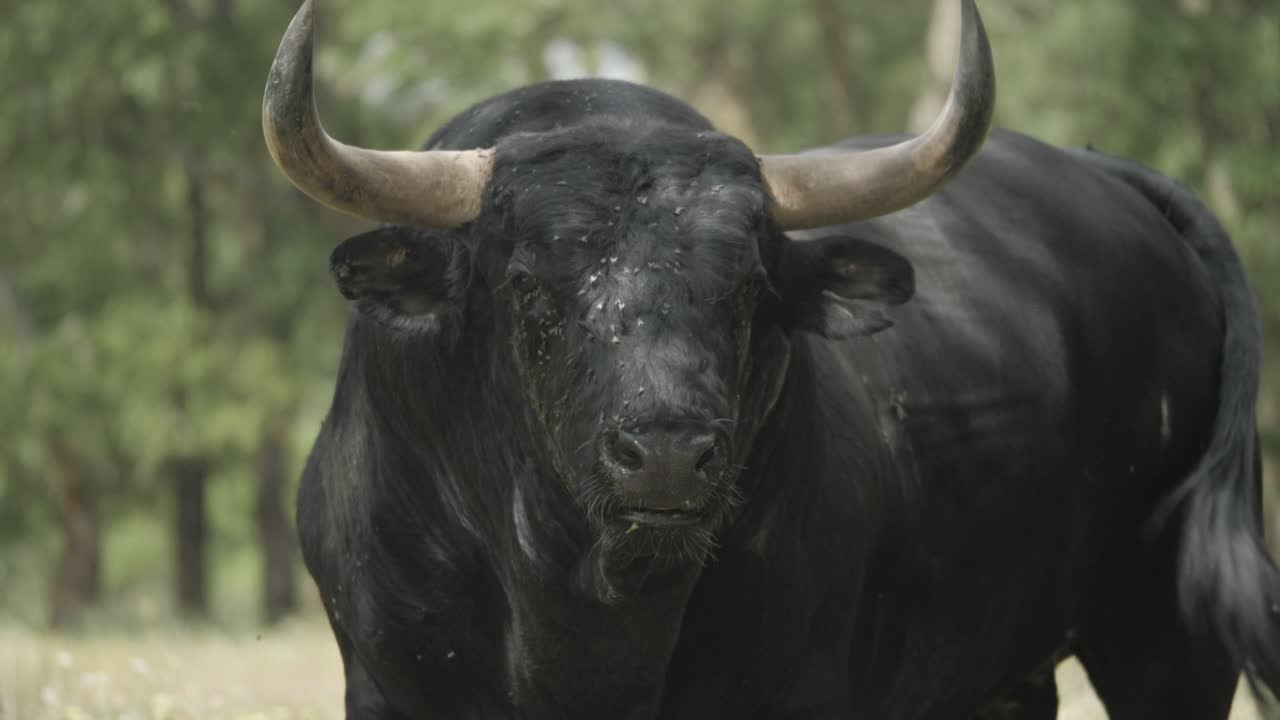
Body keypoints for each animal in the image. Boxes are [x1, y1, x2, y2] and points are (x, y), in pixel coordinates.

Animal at [262, 1, 1280, 718]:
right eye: (526, 284)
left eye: (749, 285)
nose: (668, 455)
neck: (585, 616)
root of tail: (1102, 170)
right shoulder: (388, 686)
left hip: (1171, 637)